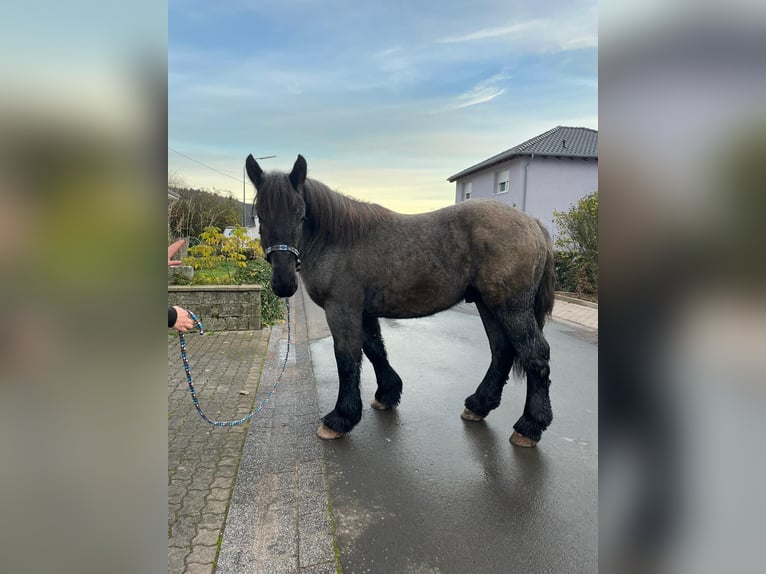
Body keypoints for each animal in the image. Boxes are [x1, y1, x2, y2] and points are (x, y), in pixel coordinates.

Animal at [249, 154, 556, 450]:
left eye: (300, 215)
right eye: (260, 216)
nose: (283, 283)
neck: (338, 239)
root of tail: (533, 224)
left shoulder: (342, 311)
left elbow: (347, 359)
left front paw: (340, 419)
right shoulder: (364, 312)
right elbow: (375, 350)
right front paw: (388, 393)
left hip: (512, 308)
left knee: (535, 355)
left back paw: (529, 426)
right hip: (488, 305)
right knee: (502, 351)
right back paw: (479, 405)